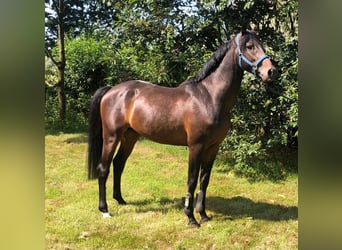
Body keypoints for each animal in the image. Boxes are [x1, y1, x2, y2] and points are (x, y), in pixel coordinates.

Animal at [87, 30, 276, 226]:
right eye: (250, 46)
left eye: (261, 44)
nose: (271, 71)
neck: (209, 97)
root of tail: (111, 90)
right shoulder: (195, 146)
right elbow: (192, 180)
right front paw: (191, 217)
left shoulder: (213, 147)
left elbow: (204, 180)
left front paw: (204, 215)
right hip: (111, 137)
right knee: (103, 169)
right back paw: (105, 210)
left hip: (130, 137)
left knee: (118, 164)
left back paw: (121, 200)